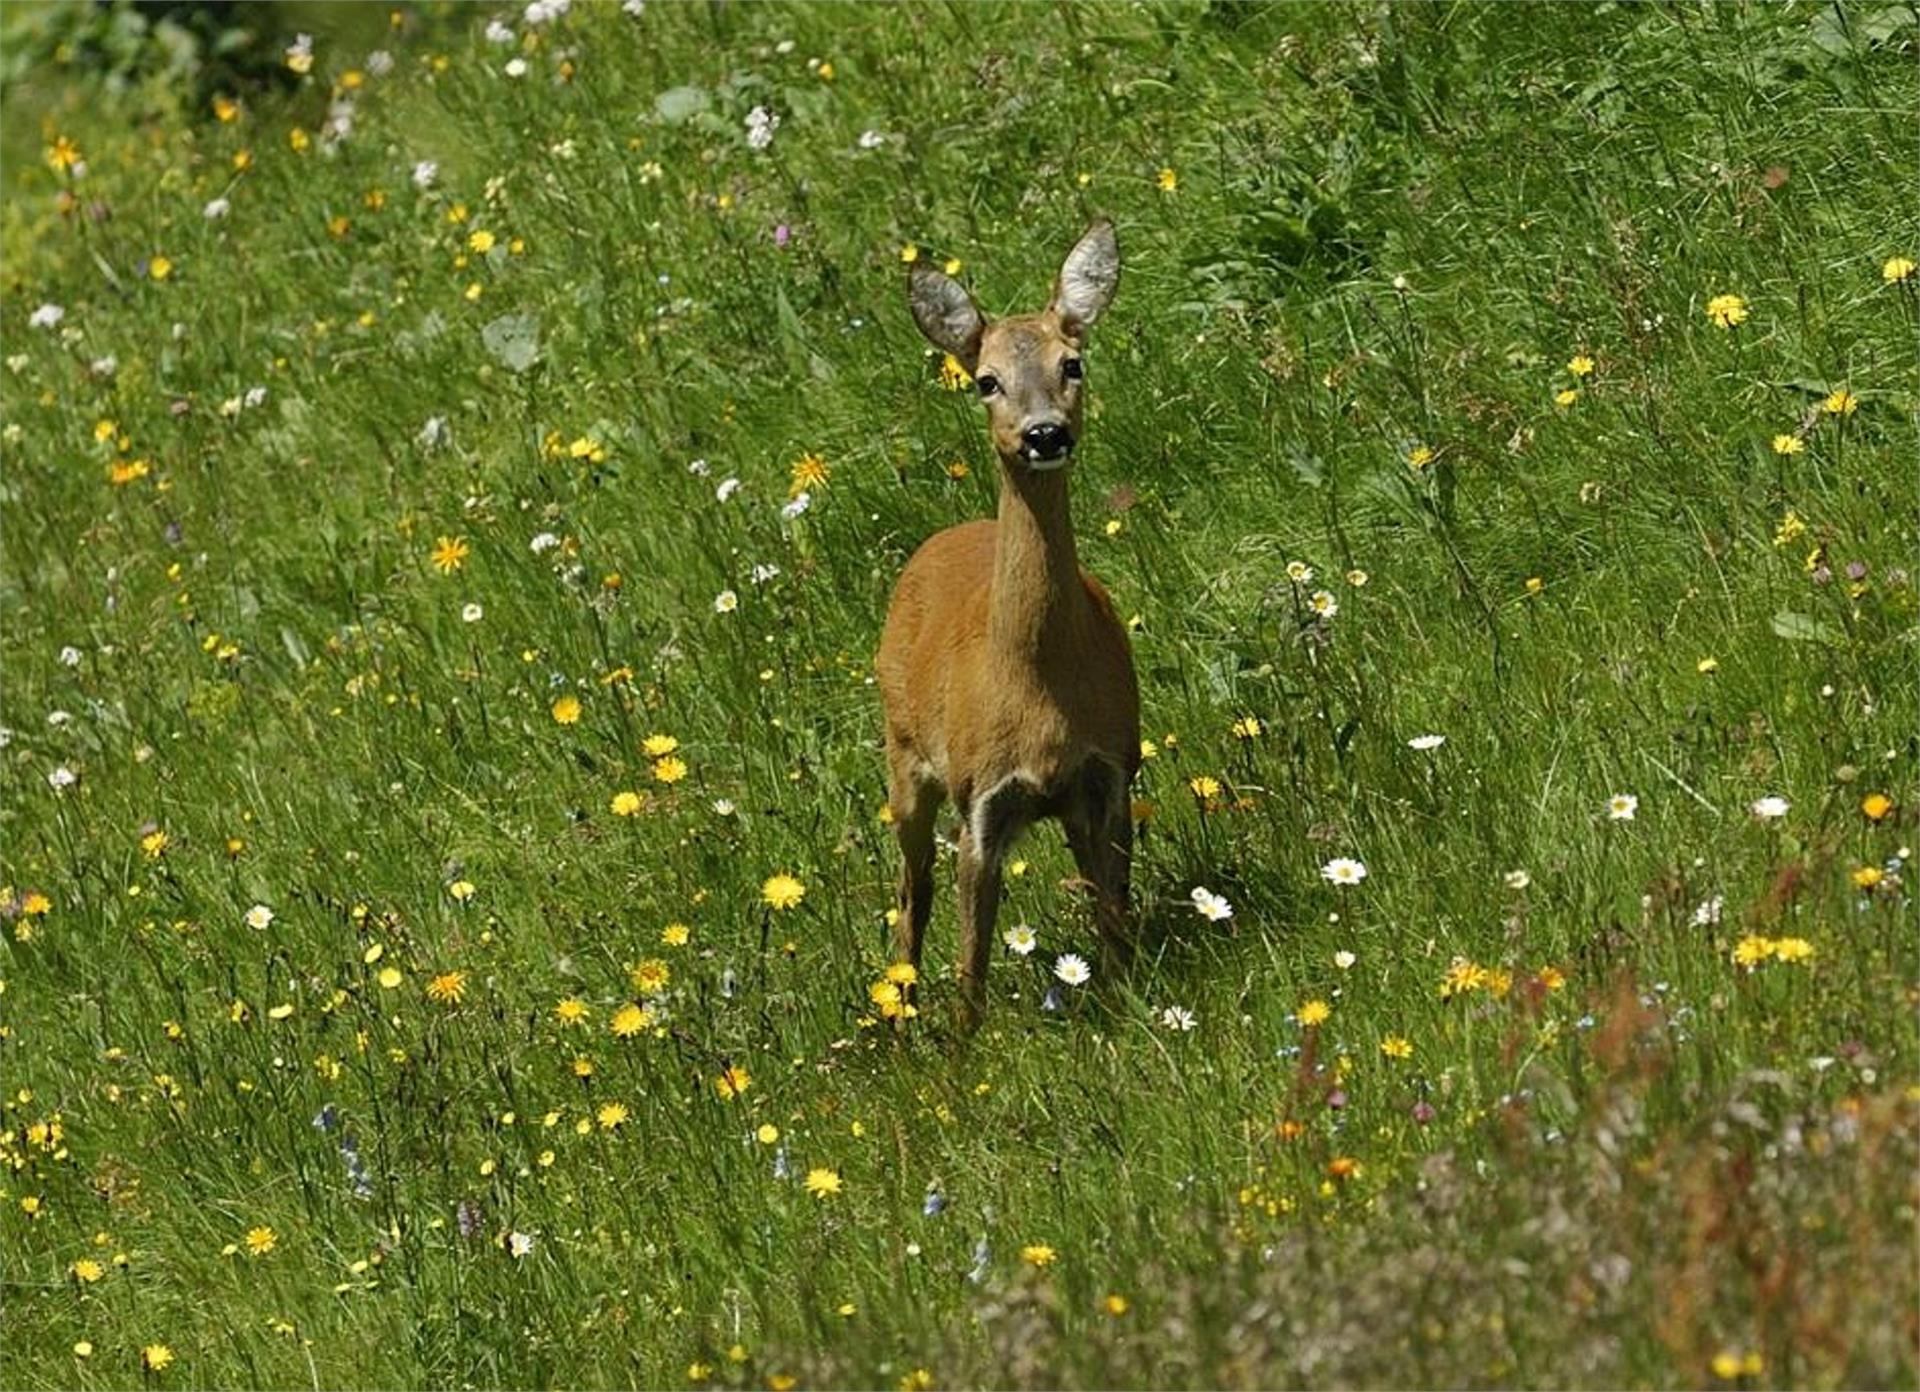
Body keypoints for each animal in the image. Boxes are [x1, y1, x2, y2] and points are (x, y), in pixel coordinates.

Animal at [879, 222, 1136, 1029]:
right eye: (986, 380)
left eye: (1071, 364)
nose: (1044, 433)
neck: (1039, 684)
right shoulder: (982, 801)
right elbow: (971, 967)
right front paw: (964, 1050)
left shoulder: (1111, 772)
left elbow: (1114, 919)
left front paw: (1129, 1006)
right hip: (904, 758)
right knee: (911, 891)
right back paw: (899, 1019)